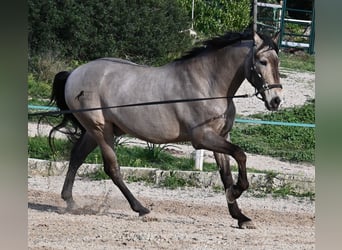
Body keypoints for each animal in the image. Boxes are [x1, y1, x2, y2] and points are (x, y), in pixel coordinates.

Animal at [48, 30, 284, 229]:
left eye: (277, 61)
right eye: (262, 61)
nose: (276, 101)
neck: (208, 84)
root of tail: (74, 73)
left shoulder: (220, 136)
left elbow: (226, 174)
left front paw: (240, 217)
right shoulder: (202, 138)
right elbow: (240, 154)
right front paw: (235, 192)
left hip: (96, 131)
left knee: (77, 157)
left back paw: (70, 201)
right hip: (101, 131)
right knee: (112, 169)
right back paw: (141, 209)